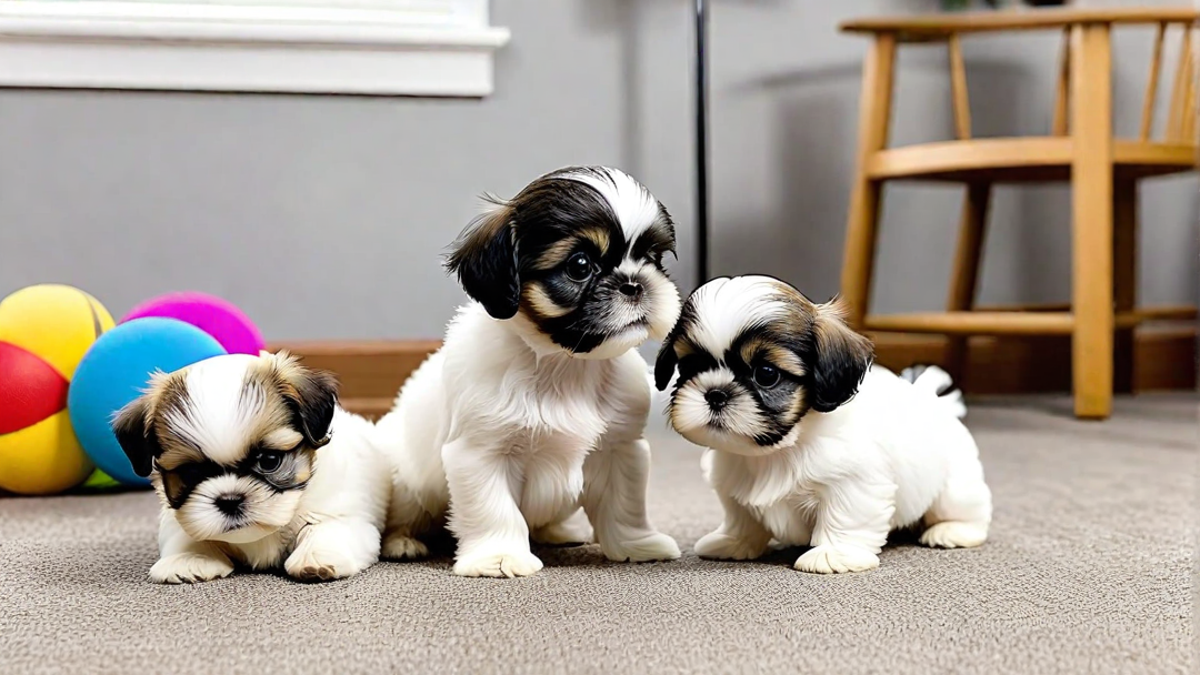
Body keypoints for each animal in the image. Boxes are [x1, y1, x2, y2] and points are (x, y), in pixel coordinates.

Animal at [112, 348, 388, 581]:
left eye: (269, 461)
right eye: (191, 472)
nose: (230, 500)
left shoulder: (343, 512)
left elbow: (326, 527)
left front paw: (316, 557)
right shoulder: (177, 517)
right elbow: (186, 533)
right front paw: (189, 558)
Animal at [379, 164, 691, 571]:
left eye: (653, 258)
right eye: (580, 266)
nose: (635, 283)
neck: (565, 364)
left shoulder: (621, 448)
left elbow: (624, 505)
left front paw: (635, 545)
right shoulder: (481, 453)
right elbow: (495, 509)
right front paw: (498, 557)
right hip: (406, 480)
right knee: (405, 515)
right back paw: (403, 542)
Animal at [657, 273, 993, 571]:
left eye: (766, 374)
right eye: (690, 367)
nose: (715, 394)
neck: (780, 449)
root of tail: (930, 399)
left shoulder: (853, 483)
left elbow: (843, 515)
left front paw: (833, 555)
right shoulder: (733, 486)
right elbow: (742, 517)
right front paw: (734, 541)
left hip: (955, 485)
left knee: (965, 507)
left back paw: (952, 530)